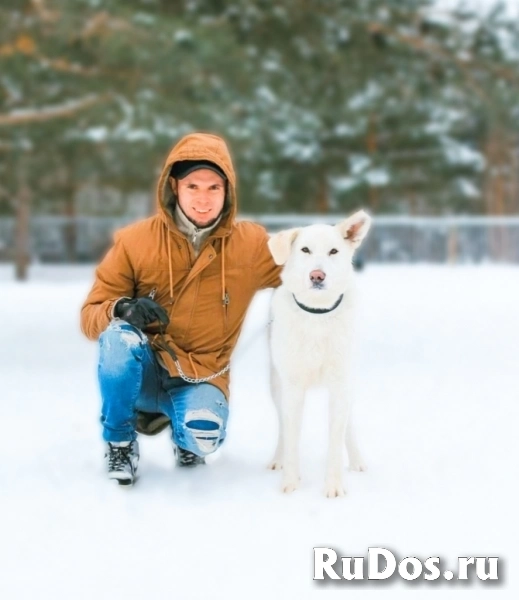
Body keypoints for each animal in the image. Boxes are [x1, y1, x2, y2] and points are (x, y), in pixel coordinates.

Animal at [266, 211, 372, 496]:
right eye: (305, 249)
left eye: (333, 251)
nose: (317, 276)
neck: (317, 314)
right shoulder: (292, 388)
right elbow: (291, 436)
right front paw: (290, 483)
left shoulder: (340, 386)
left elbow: (336, 440)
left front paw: (334, 487)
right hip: (276, 384)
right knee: (282, 428)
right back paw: (278, 459)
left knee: (349, 426)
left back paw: (357, 460)